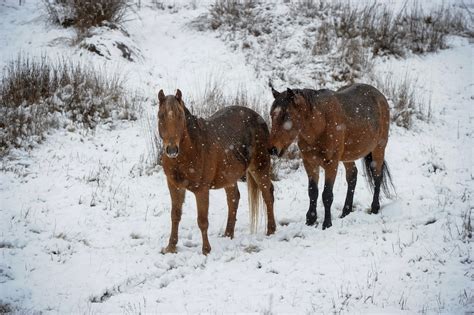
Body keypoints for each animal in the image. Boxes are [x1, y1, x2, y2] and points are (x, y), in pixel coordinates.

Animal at [157, 89, 276, 256]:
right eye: (160, 116)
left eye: (180, 116)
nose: (172, 150)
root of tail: (258, 117)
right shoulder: (174, 186)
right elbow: (175, 215)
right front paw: (171, 247)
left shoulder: (201, 190)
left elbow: (202, 220)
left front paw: (206, 250)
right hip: (230, 176)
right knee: (234, 198)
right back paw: (228, 234)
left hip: (259, 167)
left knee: (267, 194)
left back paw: (271, 231)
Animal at [268, 81, 394, 230]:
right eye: (271, 115)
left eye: (287, 116)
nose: (272, 149)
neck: (320, 124)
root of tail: (380, 96)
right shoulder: (310, 163)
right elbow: (313, 192)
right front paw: (310, 220)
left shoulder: (331, 164)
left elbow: (327, 195)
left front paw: (327, 223)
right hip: (348, 157)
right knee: (352, 176)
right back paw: (346, 211)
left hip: (378, 149)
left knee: (377, 176)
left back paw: (374, 208)